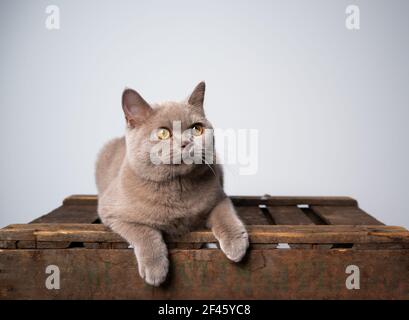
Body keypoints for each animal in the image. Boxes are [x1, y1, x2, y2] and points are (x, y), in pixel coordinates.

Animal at [95, 81, 249, 286]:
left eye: (197, 129)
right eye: (163, 133)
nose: (186, 142)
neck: (177, 187)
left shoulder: (219, 197)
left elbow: (225, 215)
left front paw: (236, 243)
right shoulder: (112, 212)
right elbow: (143, 231)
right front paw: (155, 268)